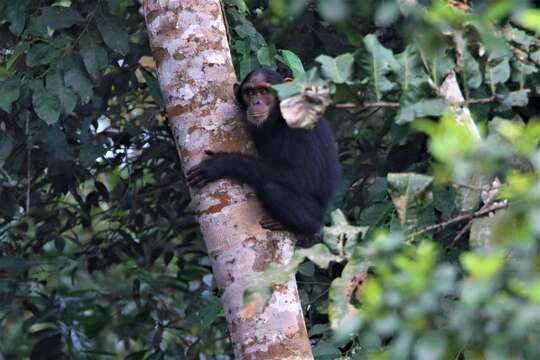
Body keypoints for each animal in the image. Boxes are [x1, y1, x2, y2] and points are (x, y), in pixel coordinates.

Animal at [185, 68, 338, 235]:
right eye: (250, 93)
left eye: (264, 91)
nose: (256, 102)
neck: (279, 116)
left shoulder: (302, 126)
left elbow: (303, 176)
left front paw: (221, 163)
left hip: (316, 213)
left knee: (272, 189)